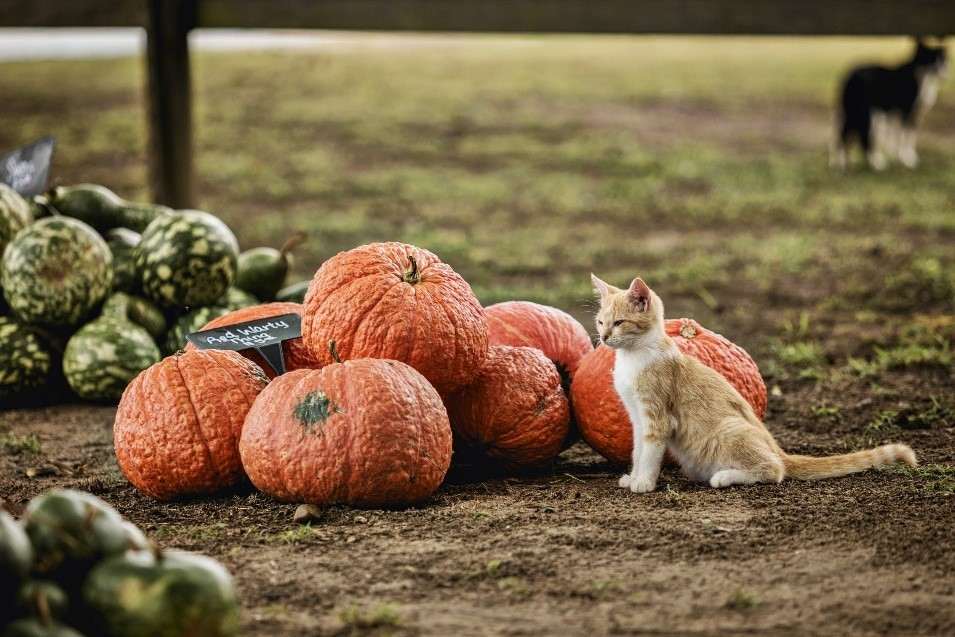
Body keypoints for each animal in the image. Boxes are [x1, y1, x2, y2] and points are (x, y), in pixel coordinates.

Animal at [592, 274, 920, 492]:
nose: (604, 337)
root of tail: (778, 448)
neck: (634, 357)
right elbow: (638, 451)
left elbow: (650, 453)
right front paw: (634, 476)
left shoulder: (657, 418)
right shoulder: (637, 417)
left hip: (728, 431)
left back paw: (726, 477)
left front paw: (644, 482)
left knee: (775, 470)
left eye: (619, 323)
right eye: (600, 322)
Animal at [828, 38, 948, 170]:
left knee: (842, 134)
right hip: (869, 114)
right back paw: (876, 164)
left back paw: (841, 163)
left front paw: (900, 157)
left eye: (942, 59)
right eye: (930, 58)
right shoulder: (907, 111)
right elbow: (906, 135)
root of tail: (850, 74)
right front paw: (906, 159)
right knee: (860, 136)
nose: (940, 69)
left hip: (851, 111)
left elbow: (903, 135)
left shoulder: (905, 113)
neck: (921, 76)